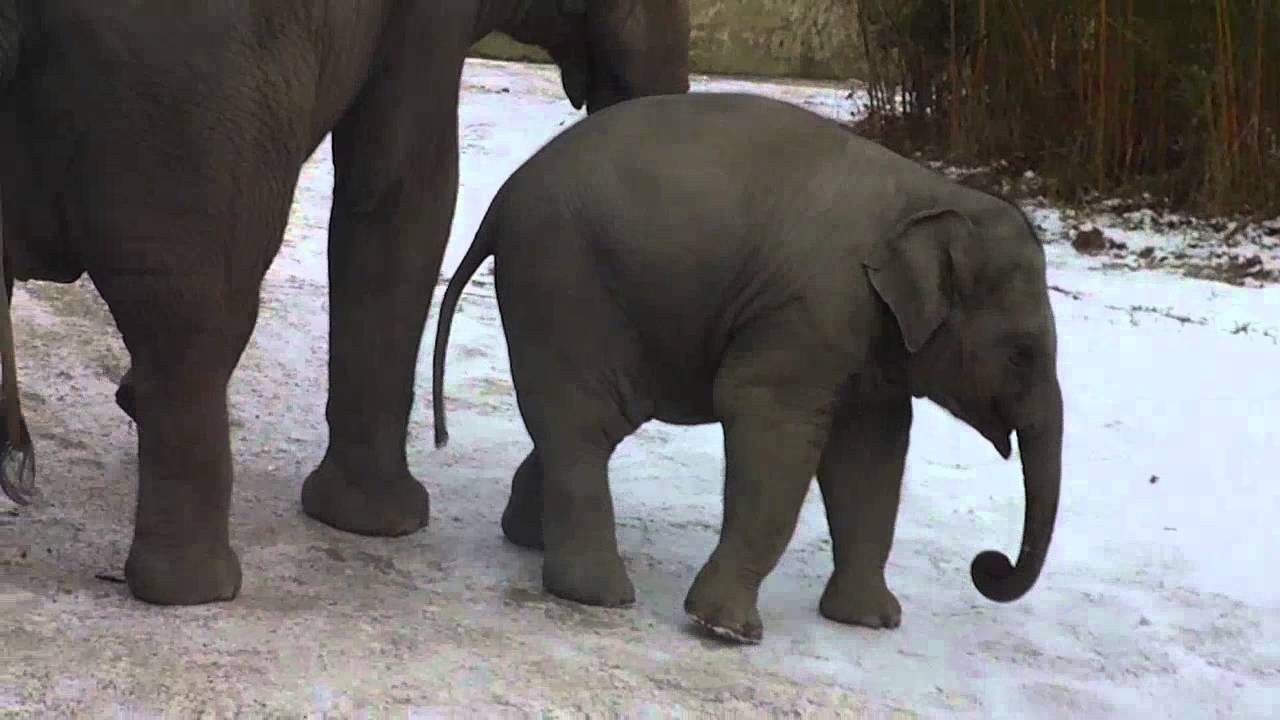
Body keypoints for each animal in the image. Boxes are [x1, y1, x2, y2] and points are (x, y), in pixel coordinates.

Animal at [431, 92, 1064, 644]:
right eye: (1021, 353)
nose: (987, 564)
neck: (933, 193)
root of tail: (499, 205)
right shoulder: (807, 314)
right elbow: (772, 429)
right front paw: (727, 630)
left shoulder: (869, 340)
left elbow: (871, 455)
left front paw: (871, 622)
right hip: (566, 283)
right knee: (586, 423)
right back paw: (599, 595)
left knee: (581, 424)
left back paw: (529, 538)